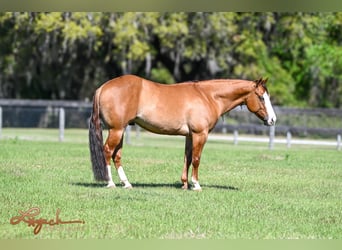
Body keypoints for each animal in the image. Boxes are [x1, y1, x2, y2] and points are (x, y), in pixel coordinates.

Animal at [88, 73, 276, 190]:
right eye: (261, 97)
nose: (272, 120)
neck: (208, 96)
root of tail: (102, 87)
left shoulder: (190, 136)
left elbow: (188, 158)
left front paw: (185, 184)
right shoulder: (200, 134)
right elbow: (197, 159)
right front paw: (196, 185)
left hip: (120, 130)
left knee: (117, 156)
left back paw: (126, 183)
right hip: (116, 130)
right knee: (107, 151)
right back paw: (110, 183)